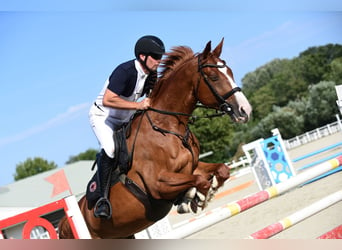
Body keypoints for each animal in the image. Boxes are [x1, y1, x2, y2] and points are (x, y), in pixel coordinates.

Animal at [58, 38, 251, 238]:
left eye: (230, 72)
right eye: (213, 77)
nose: (245, 110)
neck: (167, 127)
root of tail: (63, 224)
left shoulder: (192, 166)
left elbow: (221, 170)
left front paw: (200, 194)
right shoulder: (157, 185)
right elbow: (200, 181)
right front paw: (196, 196)